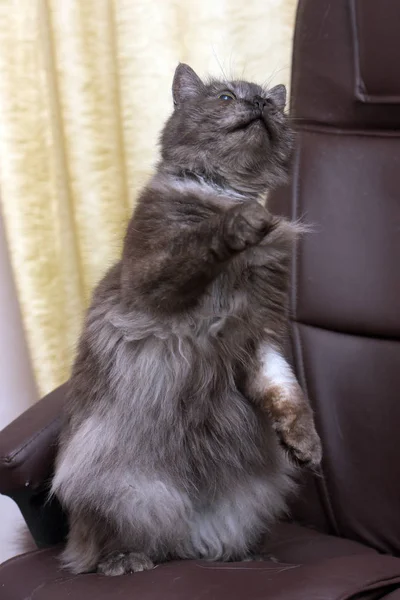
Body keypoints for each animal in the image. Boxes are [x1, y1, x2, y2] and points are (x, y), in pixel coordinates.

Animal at [50, 62, 322, 576]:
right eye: (225, 97)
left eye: (271, 104)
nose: (258, 105)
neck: (224, 191)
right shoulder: (153, 284)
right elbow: (199, 245)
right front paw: (242, 223)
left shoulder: (257, 336)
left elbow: (289, 396)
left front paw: (306, 446)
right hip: (120, 488)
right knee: (105, 547)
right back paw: (126, 562)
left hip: (242, 505)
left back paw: (247, 556)